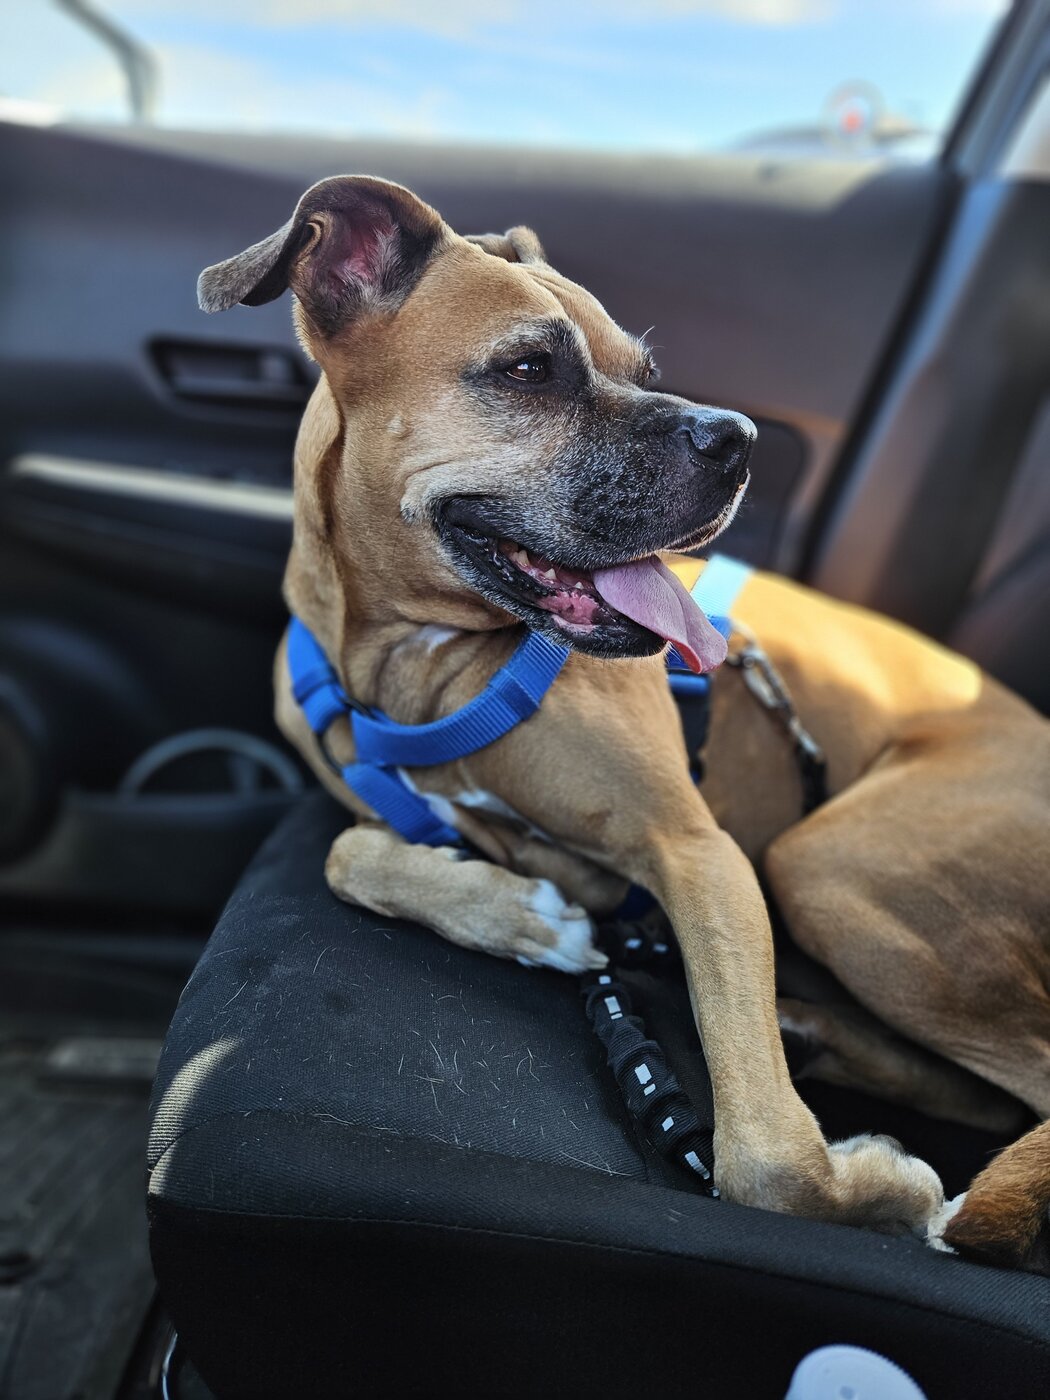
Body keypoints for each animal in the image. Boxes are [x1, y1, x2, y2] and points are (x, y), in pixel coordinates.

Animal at [198, 175, 1050, 1260]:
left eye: (646, 371)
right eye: (529, 368)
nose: (738, 439)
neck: (419, 664)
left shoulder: (698, 854)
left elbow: (767, 1163)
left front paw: (880, 1189)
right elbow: (349, 854)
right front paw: (521, 917)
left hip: (832, 864)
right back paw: (810, 1032)